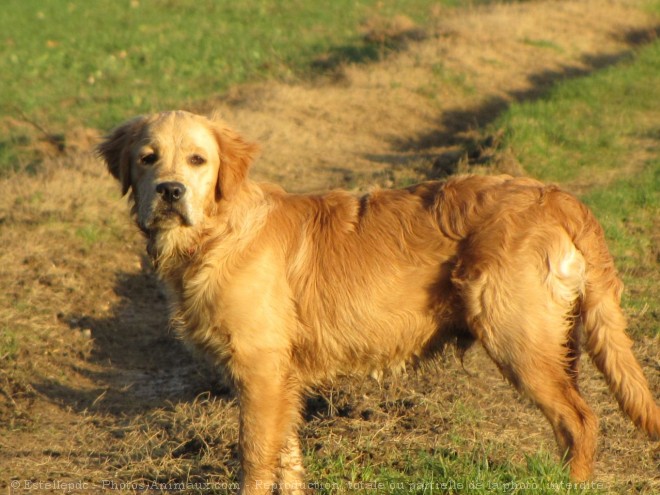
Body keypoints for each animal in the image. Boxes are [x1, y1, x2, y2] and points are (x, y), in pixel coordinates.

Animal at [95, 112, 656, 495]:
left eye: (198, 160)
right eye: (147, 158)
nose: (170, 192)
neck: (217, 232)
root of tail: (558, 197)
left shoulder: (258, 368)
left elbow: (255, 457)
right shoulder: (280, 376)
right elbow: (287, 455)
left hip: (518, 337)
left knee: (580, 421)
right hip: (557, 339)